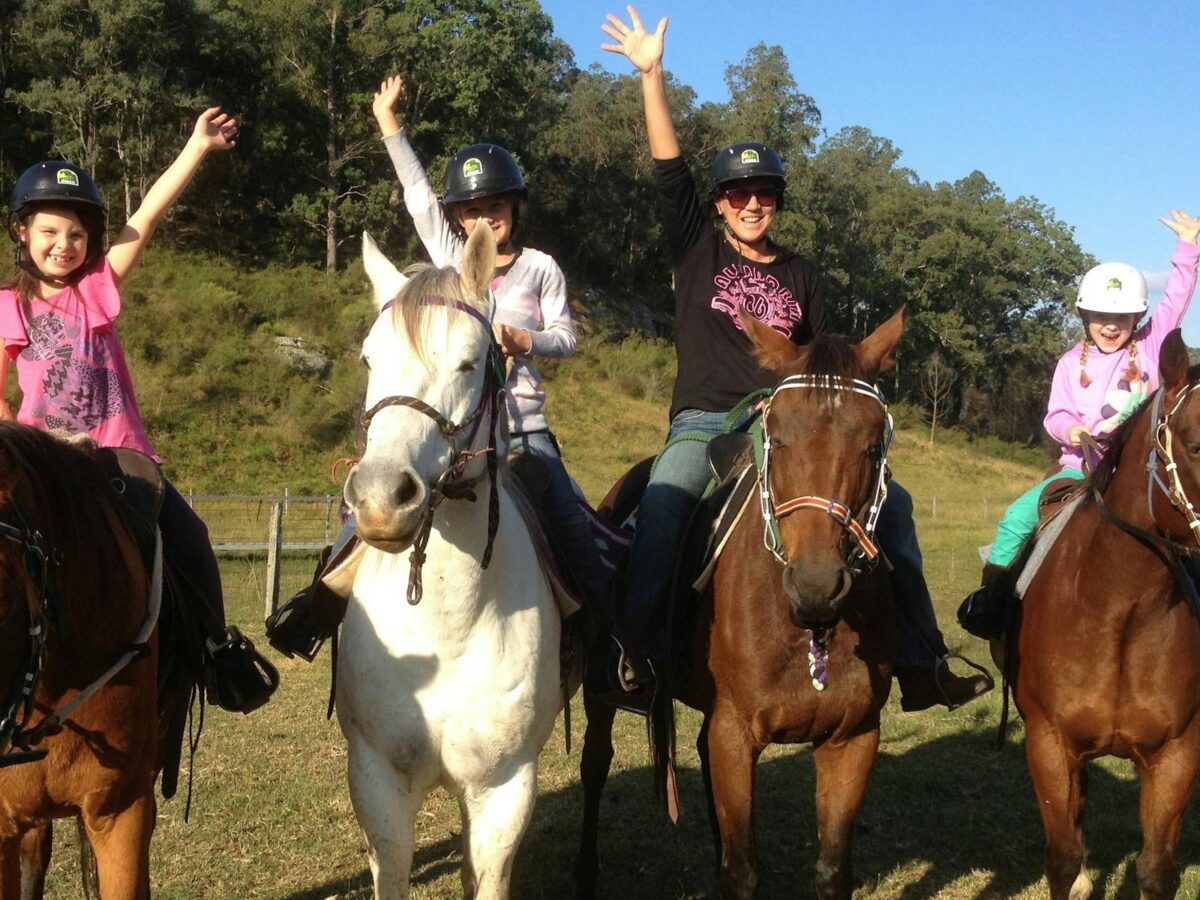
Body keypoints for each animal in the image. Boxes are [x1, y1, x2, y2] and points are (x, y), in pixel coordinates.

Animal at [337, 224, 562, 899]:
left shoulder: (502, 790)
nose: (381, 497)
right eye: (369, 360)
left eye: (468, 362)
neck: (448, 626)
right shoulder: (378, 781)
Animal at [575, 309, 905, 900]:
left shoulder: (853, 739)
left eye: (873, 447)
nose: (816, 585)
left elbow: (830, 870)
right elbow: (742, 873)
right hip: (599, 686)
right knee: (595, 763)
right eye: (777, 437)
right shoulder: (735, 733)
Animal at [1011, 328, 1200, 900]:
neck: (1121, 614)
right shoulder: (1048, 744)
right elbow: (1062, 858)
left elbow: (1157, 869)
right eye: (1195, 443)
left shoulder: (1177, 755)